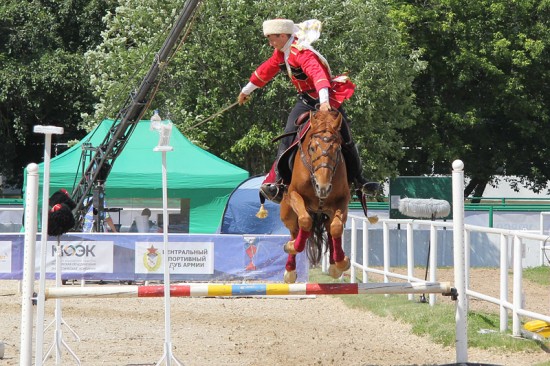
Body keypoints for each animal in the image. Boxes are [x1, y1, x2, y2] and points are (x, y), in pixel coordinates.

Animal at [280, 108, 354, 284]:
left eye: (337, 149)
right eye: (312, 148)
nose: (323, 187)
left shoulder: (343, 200)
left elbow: (336, 227)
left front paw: (342, 262)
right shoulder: (294, 194)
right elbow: (305, 221)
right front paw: (291, 246)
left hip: (329, 211)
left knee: (330, 227)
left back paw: (334, 265)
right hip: (287, 213)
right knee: (295, 230)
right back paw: (290, 267)